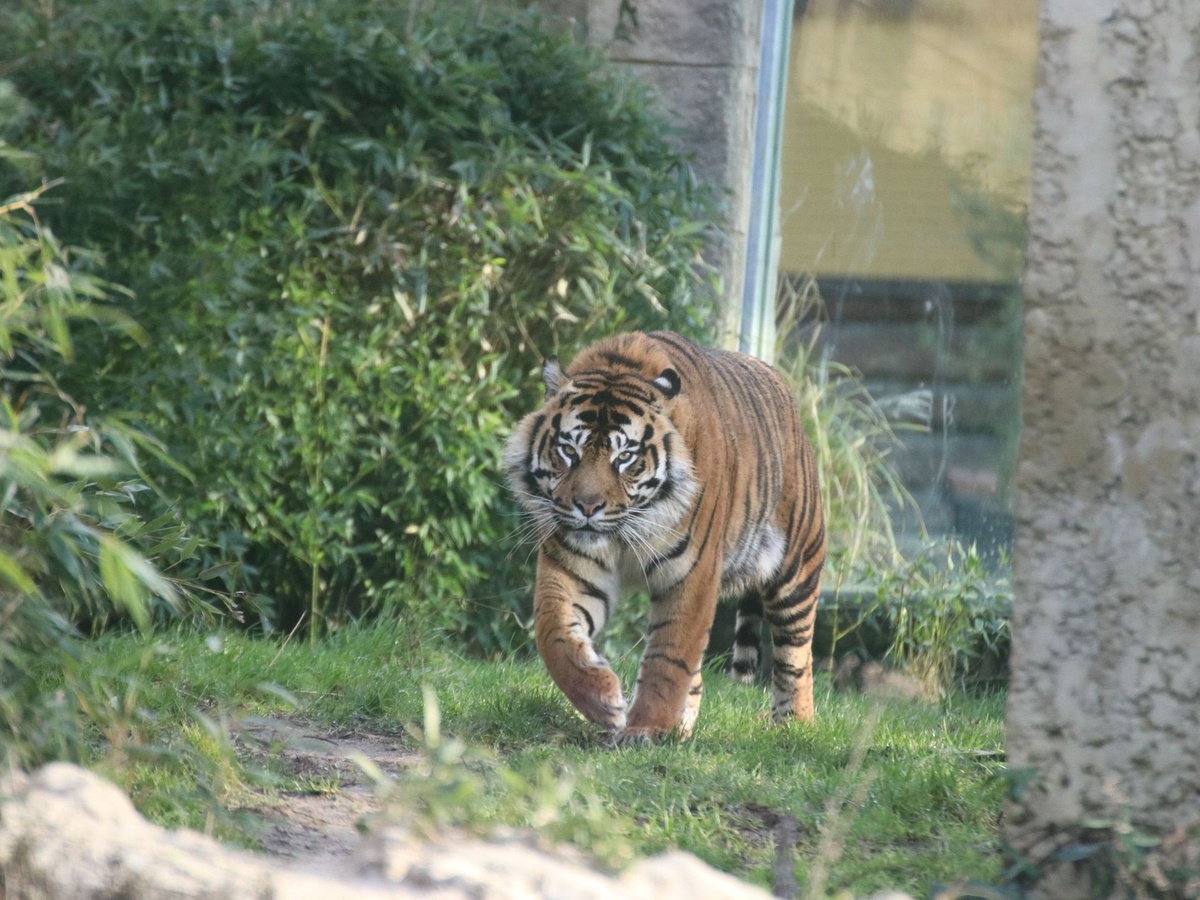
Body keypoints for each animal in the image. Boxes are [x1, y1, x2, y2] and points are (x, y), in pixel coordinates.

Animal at [503, 330, 826, 743]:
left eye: (624, 457)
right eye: (569, 450)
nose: (587, 506)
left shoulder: (692, 575)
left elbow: (669, 657)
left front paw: (646, 727)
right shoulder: (572, 564)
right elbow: (554, 632)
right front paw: (603, 701)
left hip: (797, 570)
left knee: (797, 656)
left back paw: (794, 726)